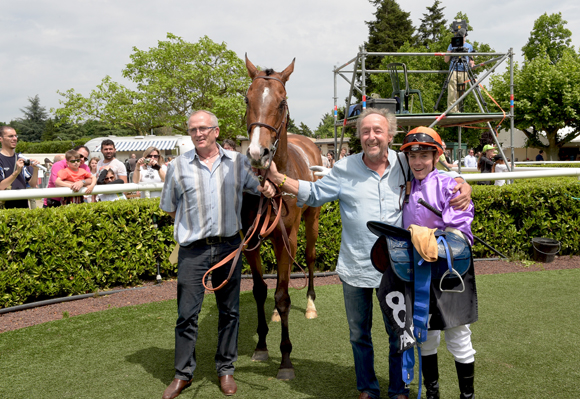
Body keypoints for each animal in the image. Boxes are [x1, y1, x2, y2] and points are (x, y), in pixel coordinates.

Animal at [240, 54, 322, 380]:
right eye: (247, 98)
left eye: (282, 101)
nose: (257, 153)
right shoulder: (250, 242)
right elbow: (261, 291)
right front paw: (261, 346)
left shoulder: (288, 237)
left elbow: (284, 296)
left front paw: (285, 360)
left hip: (311, 223)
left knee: (309, 258)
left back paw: (311, 304)